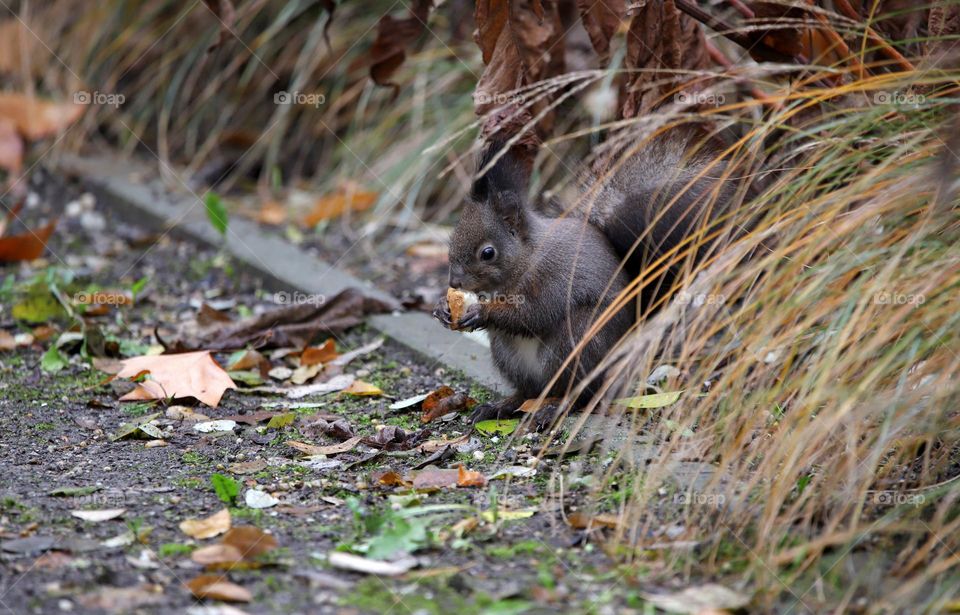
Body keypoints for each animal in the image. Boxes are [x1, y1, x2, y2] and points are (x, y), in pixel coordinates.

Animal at [434, 133, 736, 427]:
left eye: (488, 253)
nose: (455, 282)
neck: (525, 258)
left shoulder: (553, 279)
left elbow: (531, 314)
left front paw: (482, 312)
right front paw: (442, 308)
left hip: (577, 342)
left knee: (578, 393)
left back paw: (553, 409)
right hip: (509, 355)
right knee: (529, 391)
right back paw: (500, 406)